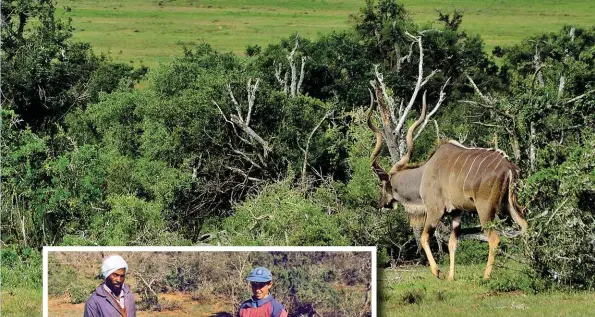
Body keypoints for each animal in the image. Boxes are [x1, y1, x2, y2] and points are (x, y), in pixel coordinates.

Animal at [368, 94, 532, 278]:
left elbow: (425, 238)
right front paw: (451, 278)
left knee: (494, 239)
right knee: (525, 226)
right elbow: (452, 243)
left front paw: (438, 273)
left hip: (485, 210)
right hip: (509, 204)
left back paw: (486, 277)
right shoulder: (456, 213)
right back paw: (531, 266)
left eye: (381, 184)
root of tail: (509, 167)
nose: (380, 203)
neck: (423, 174)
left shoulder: (435, 210)